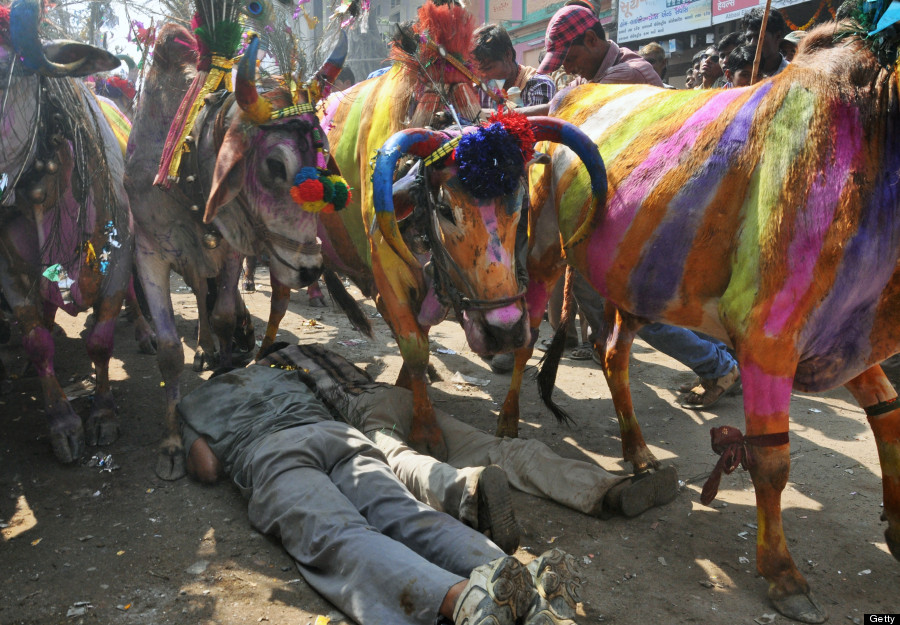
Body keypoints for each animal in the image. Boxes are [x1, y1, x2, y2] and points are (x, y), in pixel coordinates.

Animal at [0, 1, 137, 464]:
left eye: (6, 69)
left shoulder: (120, 257)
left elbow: (100, 341)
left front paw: (104, 415)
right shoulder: (9, 272)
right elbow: (38, 339)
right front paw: (62, 423)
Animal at [125, 24, 350, 480]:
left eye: (322, 160)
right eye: (275, 165)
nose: (309, 269)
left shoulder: (229, 248)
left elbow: (225, 317)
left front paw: (225, 368)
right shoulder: (150, 253)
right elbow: (169, 351)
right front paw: (171, 443)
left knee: (202, 294)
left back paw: (207, 348)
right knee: (197, 292)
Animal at [500, 9, 900, 620]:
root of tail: (570, 92)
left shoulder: (844, 334)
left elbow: (889, 422)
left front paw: (898, 530)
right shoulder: (768, 337)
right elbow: (772, 462)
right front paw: (783, 575)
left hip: (635, 286)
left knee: (612, 354)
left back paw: (639, 452)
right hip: (545, 251)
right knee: (526, 339)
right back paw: (506, 421)